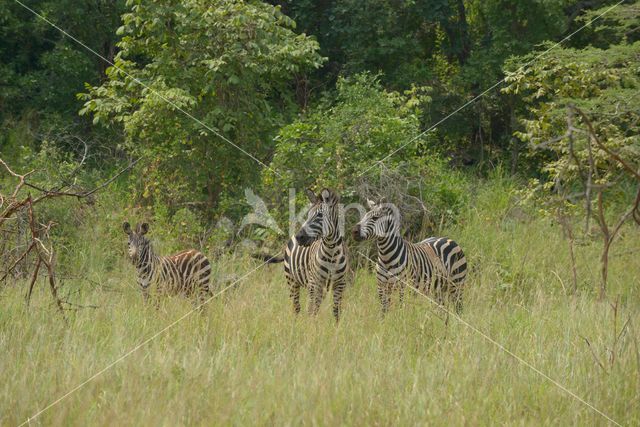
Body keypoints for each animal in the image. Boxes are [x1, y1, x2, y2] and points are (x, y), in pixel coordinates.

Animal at [255, 189, 350, 322]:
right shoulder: (314, 283)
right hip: (292, 280)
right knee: (296, 307)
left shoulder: (340, 284)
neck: (331, 252)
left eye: (320, 215)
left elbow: (336, 312)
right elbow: (311, 311)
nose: (299, 237)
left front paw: (335, 327)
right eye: (308, 214)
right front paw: (311, 327)